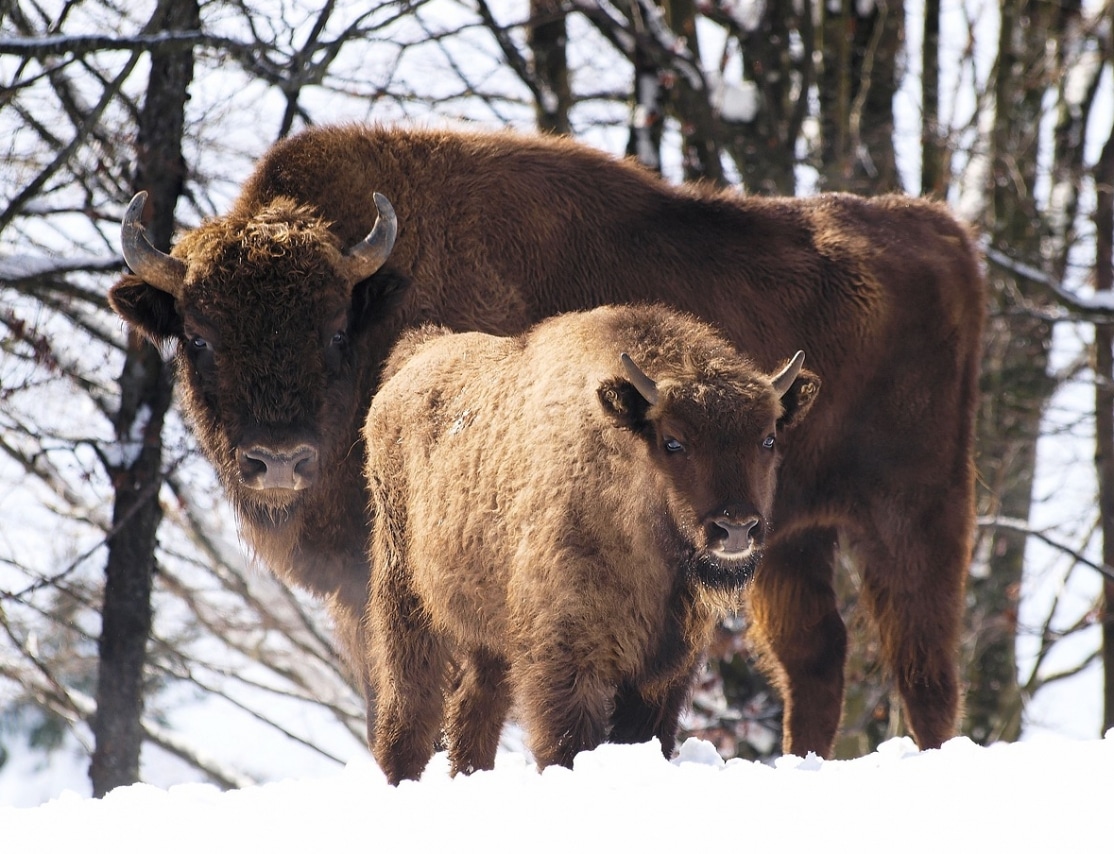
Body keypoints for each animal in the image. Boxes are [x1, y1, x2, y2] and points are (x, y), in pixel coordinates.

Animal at [363, 302, 819, 783]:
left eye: (768, 438)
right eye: (673, 441)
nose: (735, 528)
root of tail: (414, 359)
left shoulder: (663, 673)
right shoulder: (566, 662)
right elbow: (565, 746)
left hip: (487, 632)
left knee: (473, 711)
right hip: (406, 598)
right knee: (410, 708)